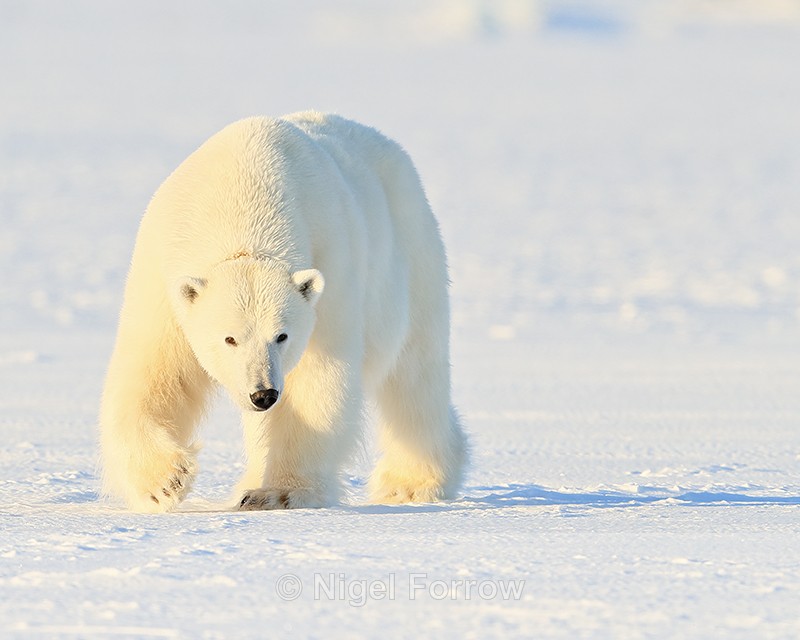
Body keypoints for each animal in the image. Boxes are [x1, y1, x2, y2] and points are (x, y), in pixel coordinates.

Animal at [99, 111, 467, 512]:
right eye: (229, 338)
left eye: (282, 335)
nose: (264, 394)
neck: (243, 195)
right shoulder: (164, 271)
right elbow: (157, 373)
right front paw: (165, 481)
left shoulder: (330, 269)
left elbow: (315, 383)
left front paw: (278, 492)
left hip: (411, 257)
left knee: (414, 377)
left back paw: (411, 483)